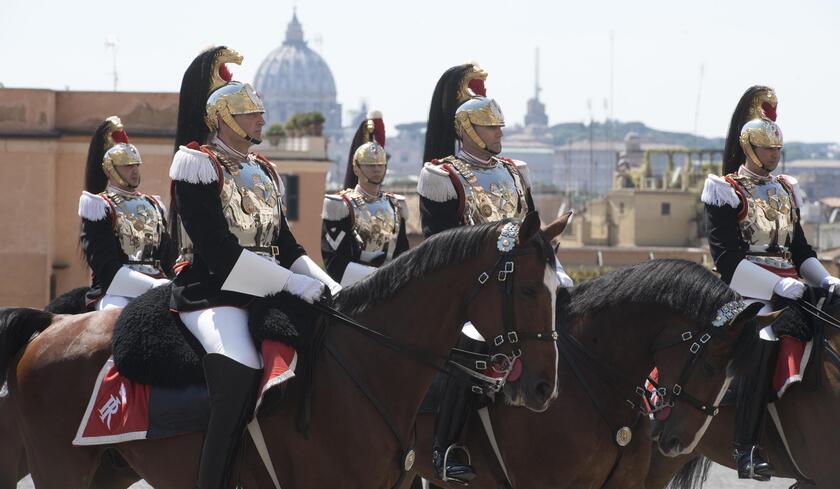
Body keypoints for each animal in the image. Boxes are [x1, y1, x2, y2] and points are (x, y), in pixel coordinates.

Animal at [1, 214, 564, 488]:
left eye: (559, 289)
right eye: (528, 290)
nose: (543, 388)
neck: (366, 368)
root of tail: (49, 327)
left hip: (108, 472)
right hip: (59, 471)